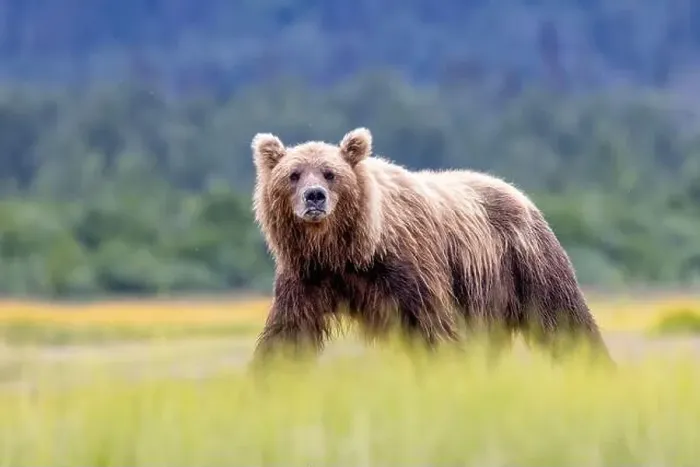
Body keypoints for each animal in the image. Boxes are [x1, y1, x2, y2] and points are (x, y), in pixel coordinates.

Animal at [249, 127, 613, 366]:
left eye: (330, 173)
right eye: (294, 174)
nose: (315, 197)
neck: (346, 250)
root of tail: (518, 192)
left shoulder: (408, 264)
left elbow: (433, 324)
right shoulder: (306, 274)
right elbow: (287, 331)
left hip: (524, 260)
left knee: (564, 316)